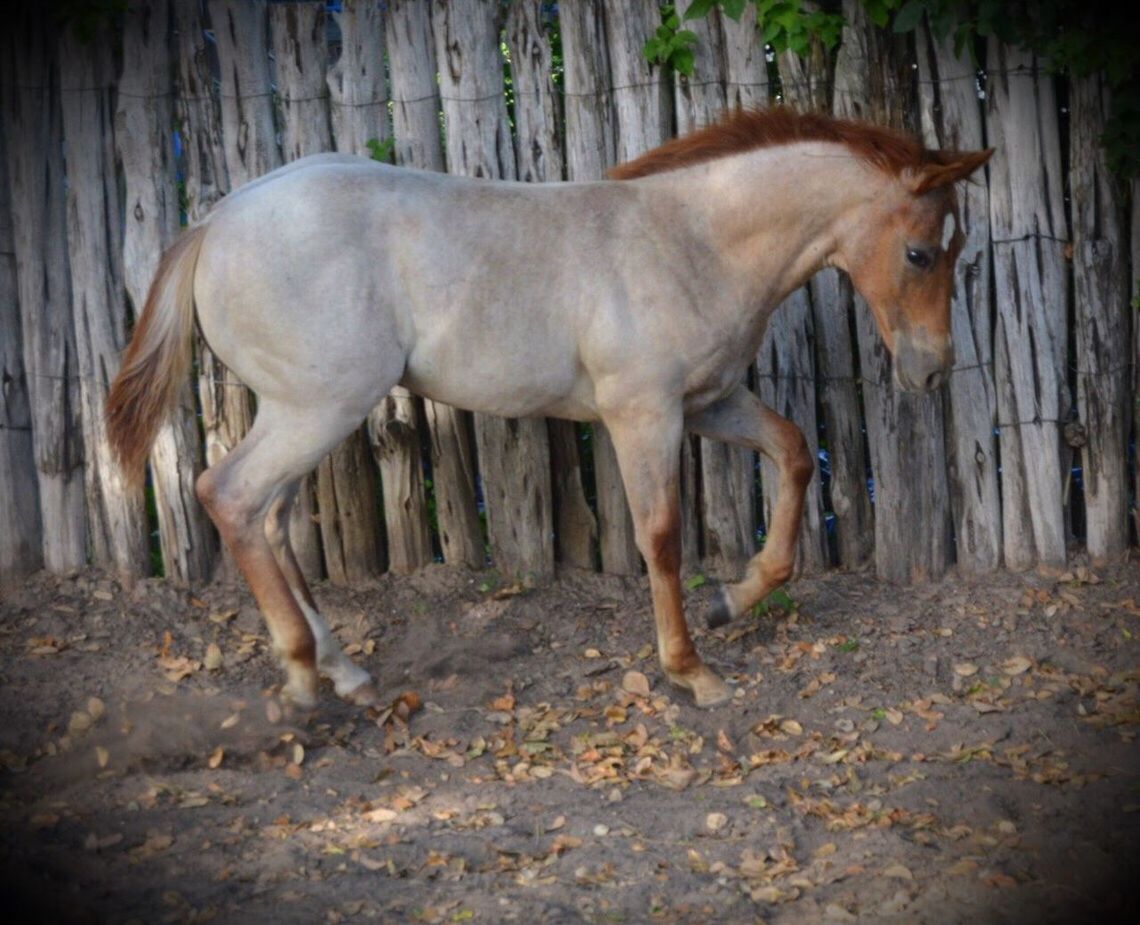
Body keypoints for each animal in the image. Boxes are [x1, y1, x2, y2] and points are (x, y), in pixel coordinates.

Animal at [107, 110, 989, 716]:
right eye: (920, 252)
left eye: (958, 251)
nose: (931, 370)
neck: (690, 240)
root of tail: (215, 222)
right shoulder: (644, 413)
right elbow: (661, 536)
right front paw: (691, 670)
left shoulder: (710, 401)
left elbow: (796, 451)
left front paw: (733, 600)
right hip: (319, 406)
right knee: (228, 494)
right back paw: (298, 677)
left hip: (303, 410)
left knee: (273, 517)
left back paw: (346, 671)